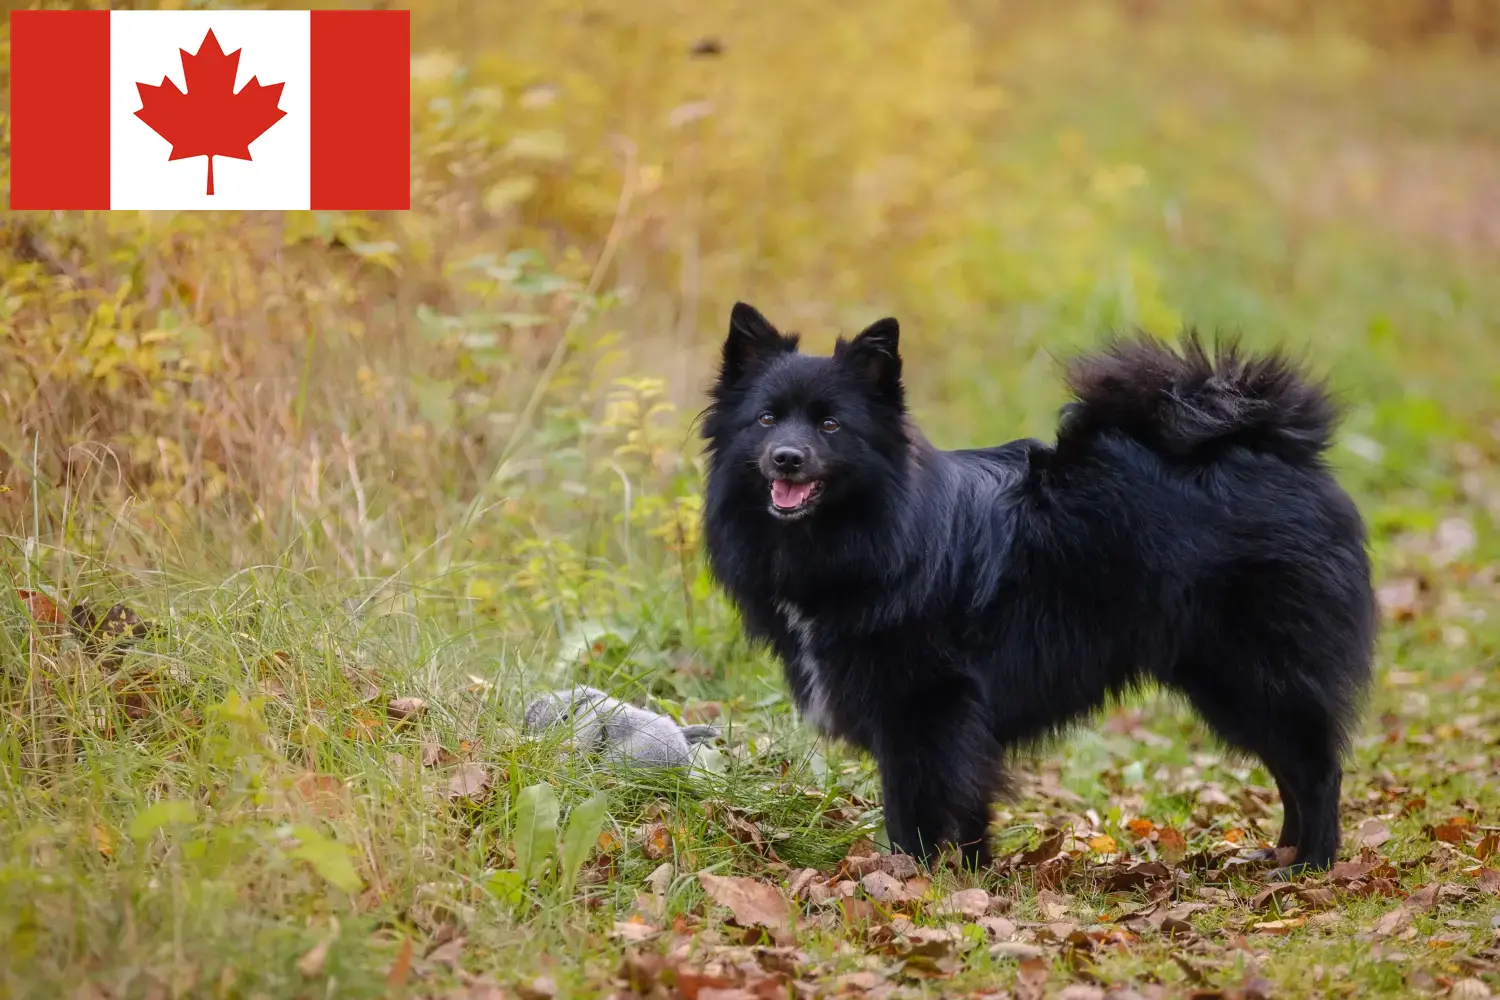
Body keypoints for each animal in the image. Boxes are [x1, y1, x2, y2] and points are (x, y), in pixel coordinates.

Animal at [705, 302, 1380, 875]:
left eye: (830, 424)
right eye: (766, 419)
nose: (786, 457)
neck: (878, 532)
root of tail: (1269, 445)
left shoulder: (925, 707)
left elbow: (914, 808)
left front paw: (910, 880)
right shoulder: (957, 719)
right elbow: (968, 804)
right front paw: (970, 873)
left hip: (1252, 672)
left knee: (1316, 770)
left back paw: (1310, 866)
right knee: (1293, 770)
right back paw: (1280, 855)